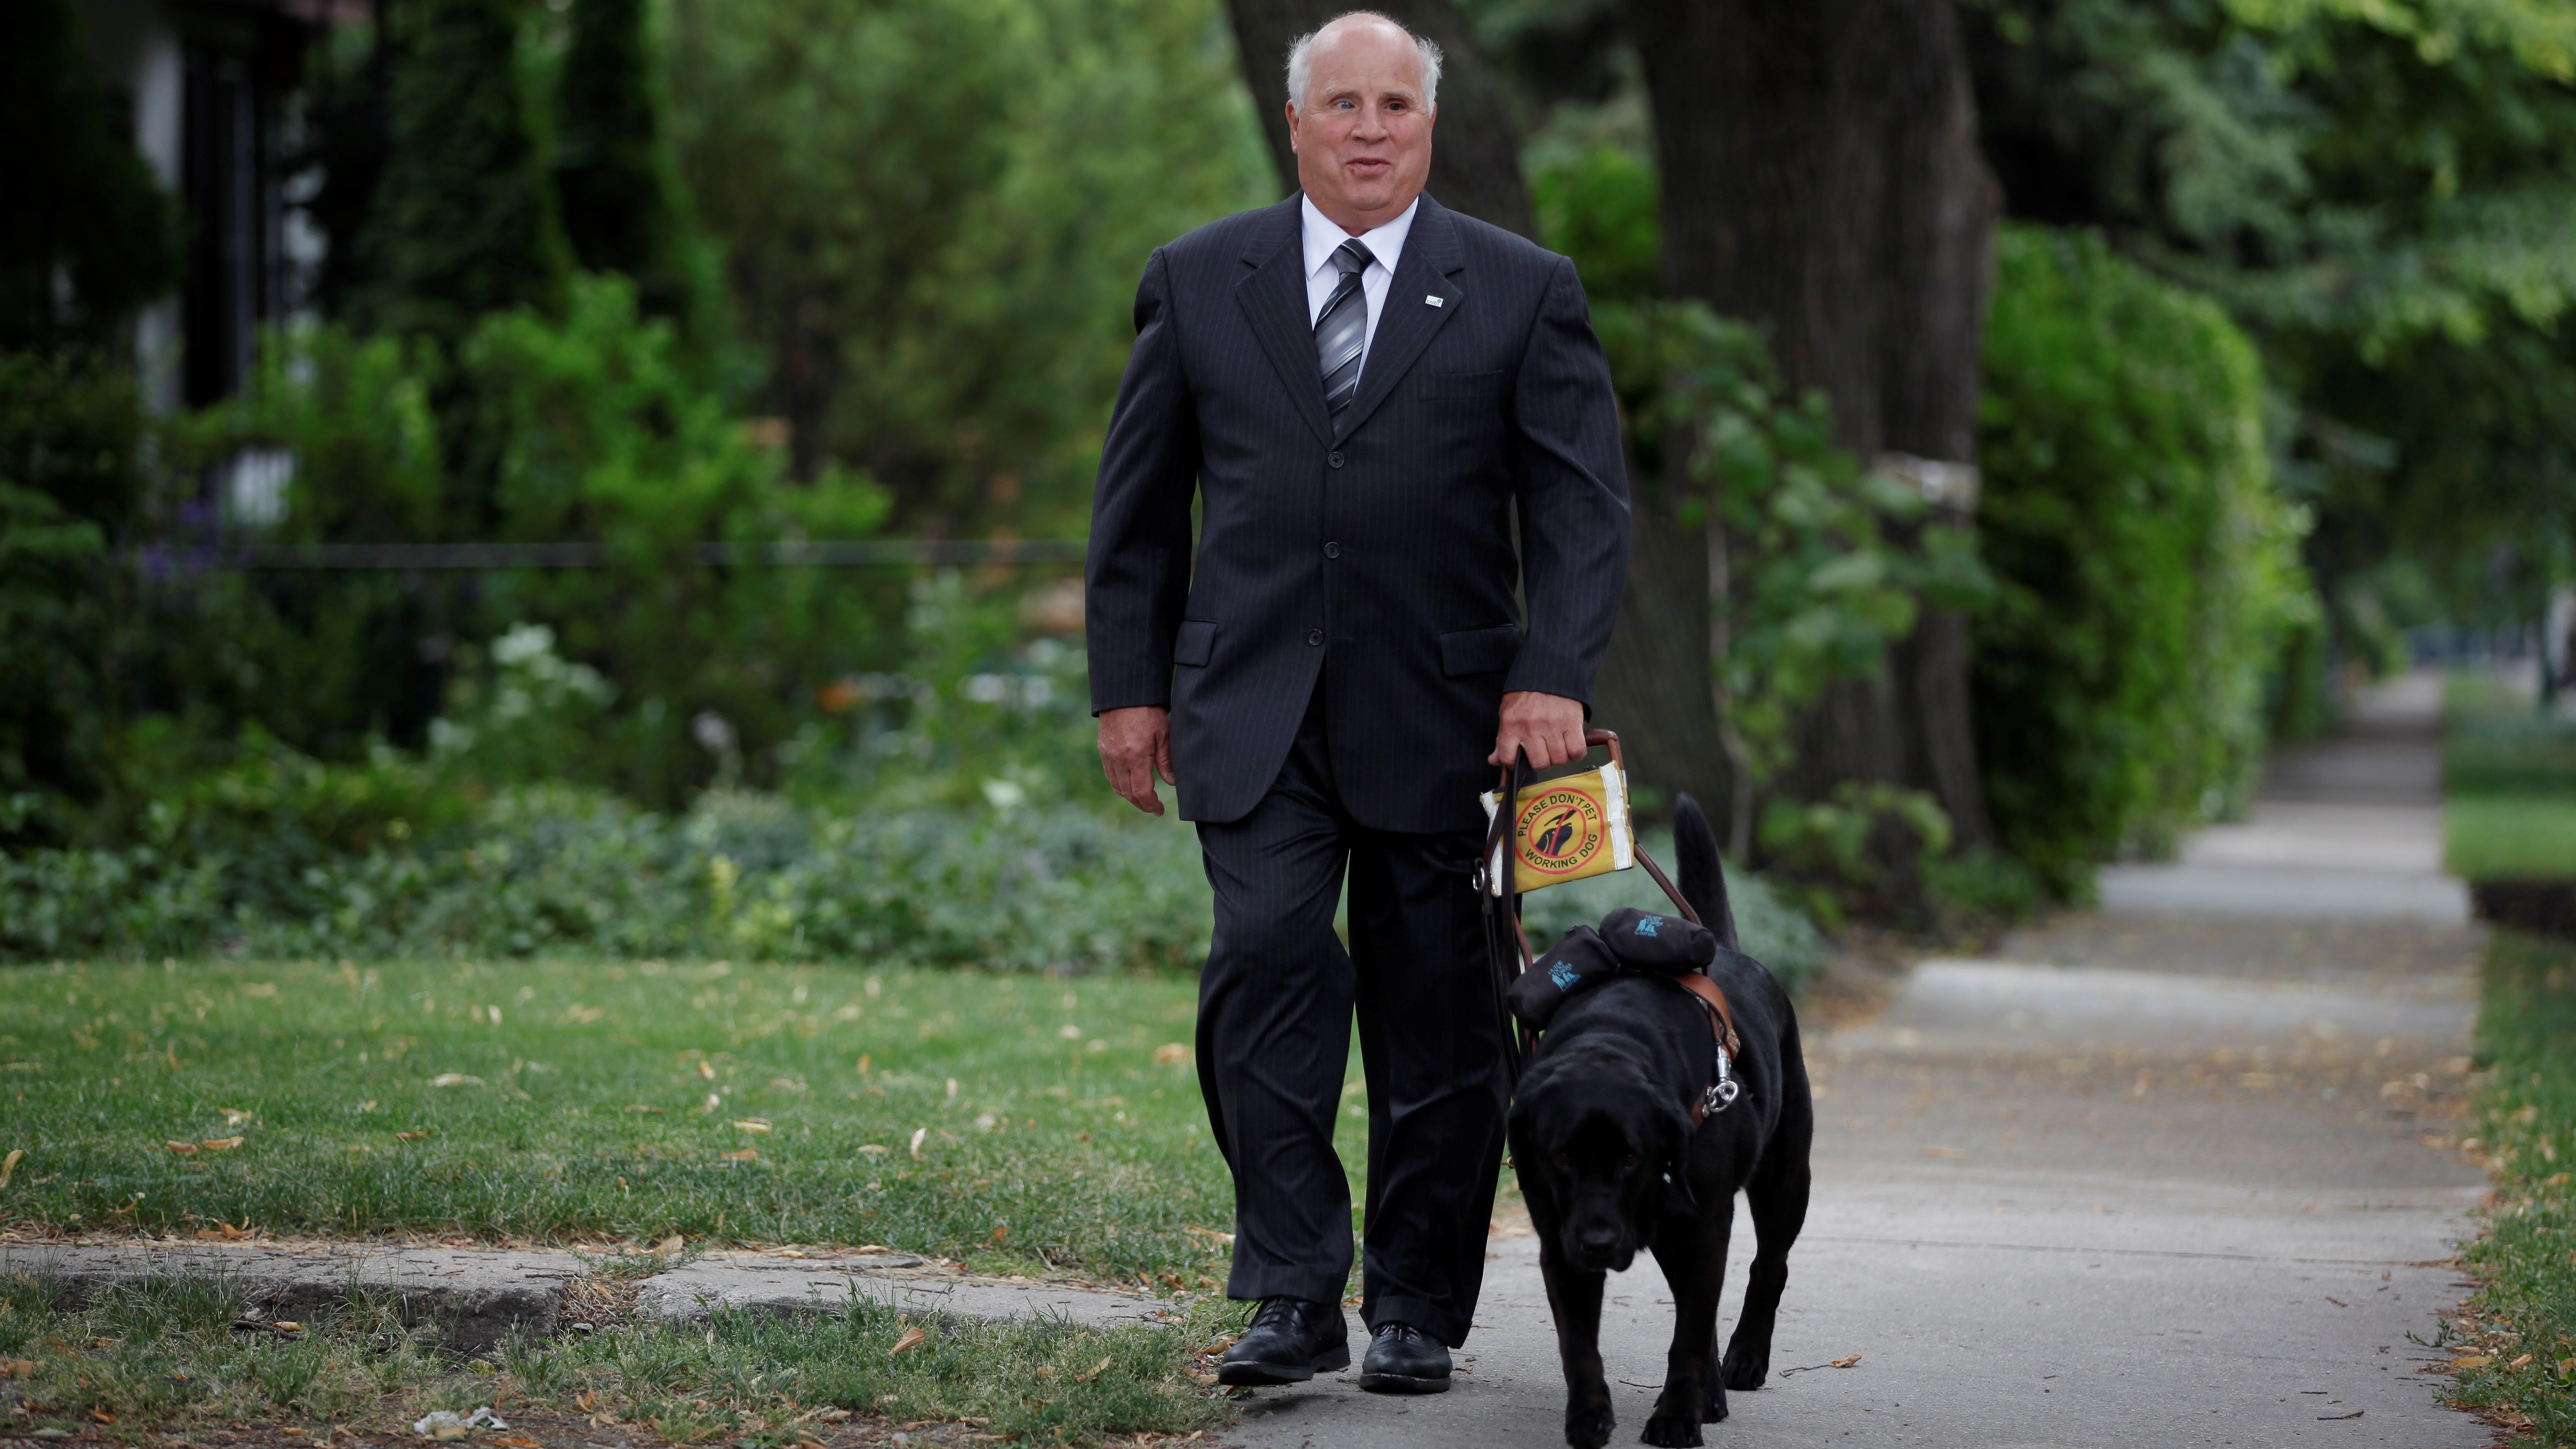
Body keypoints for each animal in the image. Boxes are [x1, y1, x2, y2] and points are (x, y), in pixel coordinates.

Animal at [1504, 794, 1813, 1433]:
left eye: (1631, 1158)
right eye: (1561, 1156)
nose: (1598, 1241)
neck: (1611, 1041)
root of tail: (1727, 949)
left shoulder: (1705, 1223)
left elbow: (1689, 1334)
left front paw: (1675, 1418)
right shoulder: (1558, 1235)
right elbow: (1579, 1342)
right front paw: (1589, 1415)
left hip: (1782, 1179)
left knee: (1767, 1267)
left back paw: (1743, 1359)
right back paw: (1712, 1390)